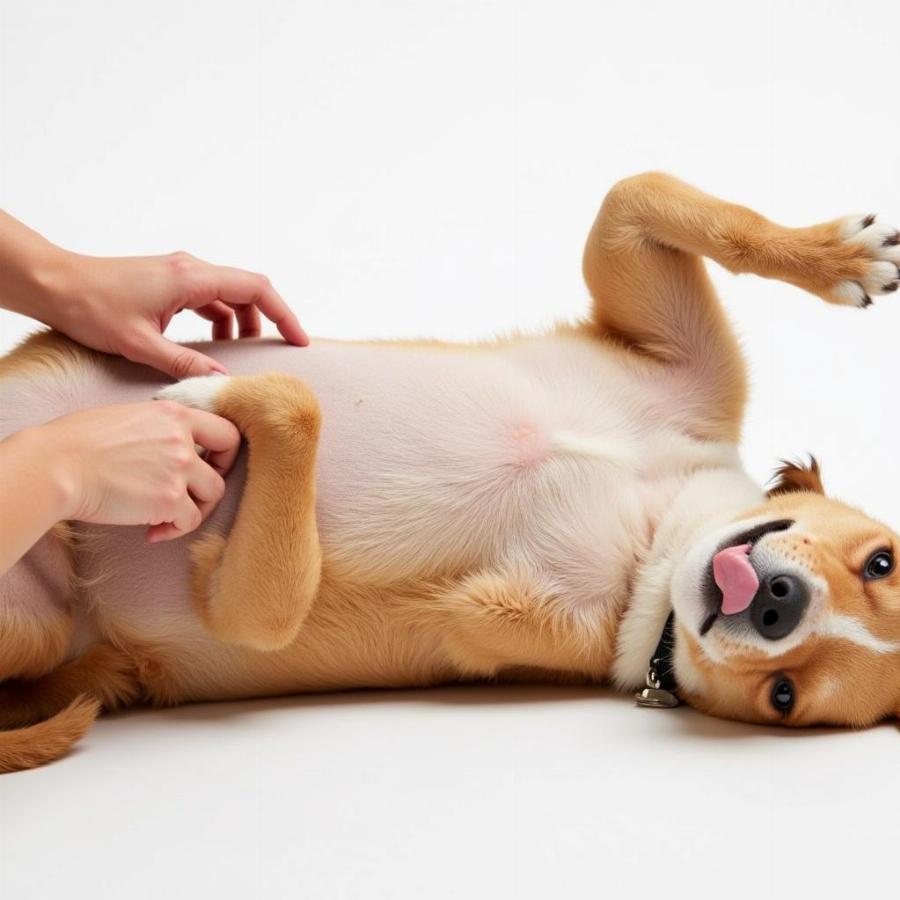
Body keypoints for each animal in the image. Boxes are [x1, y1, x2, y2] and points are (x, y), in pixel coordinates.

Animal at [1, 172, 900, 768]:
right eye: (882, 561)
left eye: (785, 697)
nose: (781, 603)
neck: (656, 524)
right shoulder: (661, 314)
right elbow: (651, 194)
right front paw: (836, 257)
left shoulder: (263, 609)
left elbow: (295, 419)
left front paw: (222, 401)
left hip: (37, 622)